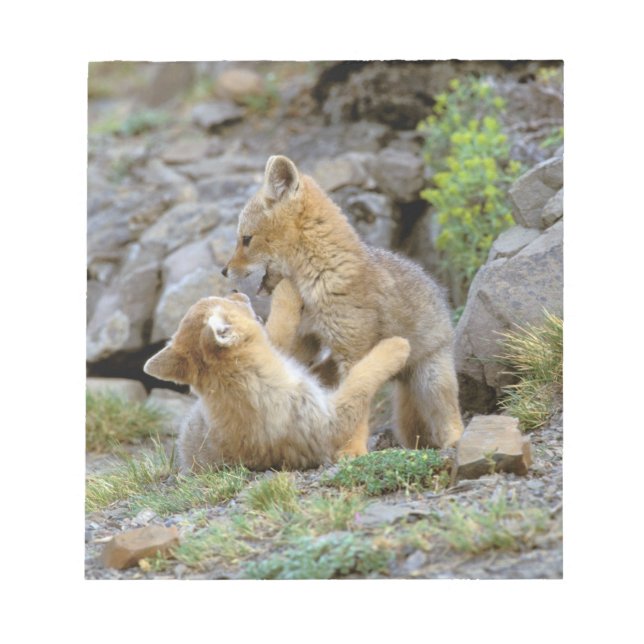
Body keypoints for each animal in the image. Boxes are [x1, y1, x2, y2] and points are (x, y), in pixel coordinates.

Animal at [143, 278, 410, 472]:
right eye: (224, 302)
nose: (236, 290)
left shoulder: (298, 372)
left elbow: (284, 336)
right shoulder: (327, 422)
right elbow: (360, 379)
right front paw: (396, 347)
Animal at [223, 154, 464, 451]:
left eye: (246, 239)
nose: (223, 271)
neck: (320, 277)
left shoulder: (353, 352)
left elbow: (357, 401)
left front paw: (351, 451)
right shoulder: (306, 340)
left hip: (432, 381)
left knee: (450, 416)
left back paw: (454, 440)